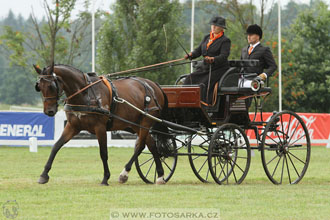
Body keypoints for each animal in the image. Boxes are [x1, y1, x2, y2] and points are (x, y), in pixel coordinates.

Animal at [33, 63, 169, 186]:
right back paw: (160, 176)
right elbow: (56, 146)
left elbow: (103, 153)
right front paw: (44, 175)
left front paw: (105, 178)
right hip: (136, 123)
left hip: (145, 120)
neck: (85, 93)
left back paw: (124, 174)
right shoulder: (72, 126)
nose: (49, 111)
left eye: (51, 86)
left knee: (140, 145)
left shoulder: (100, 128)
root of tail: (154, 85)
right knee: (151, 145)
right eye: (39, 86)